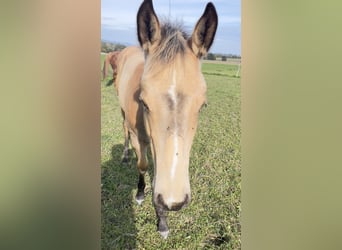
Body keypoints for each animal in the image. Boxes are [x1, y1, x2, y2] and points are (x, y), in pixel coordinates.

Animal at [113, 0, 218, 238]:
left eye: (202, 106)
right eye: (144, 102)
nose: (174, 202)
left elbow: (157, 176)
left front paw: (162, 222)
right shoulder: (140, 137)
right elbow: (143, 165)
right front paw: (140, 195)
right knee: (124, 129)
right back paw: (125, 155)